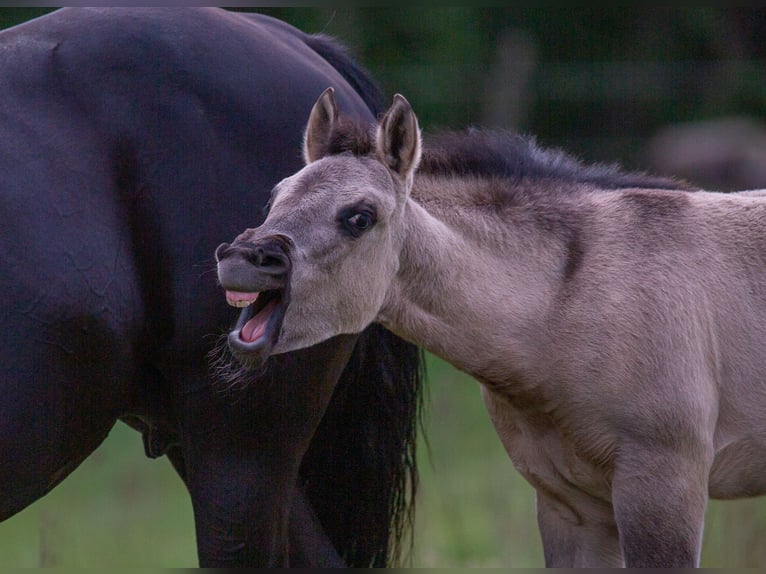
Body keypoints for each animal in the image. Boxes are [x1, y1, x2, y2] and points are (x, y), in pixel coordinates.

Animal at [216, 87, 766, 568]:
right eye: (277, 196)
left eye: (359, 217)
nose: (243, 259)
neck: (568, 303)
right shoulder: (571, 506)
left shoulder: (663, 487)